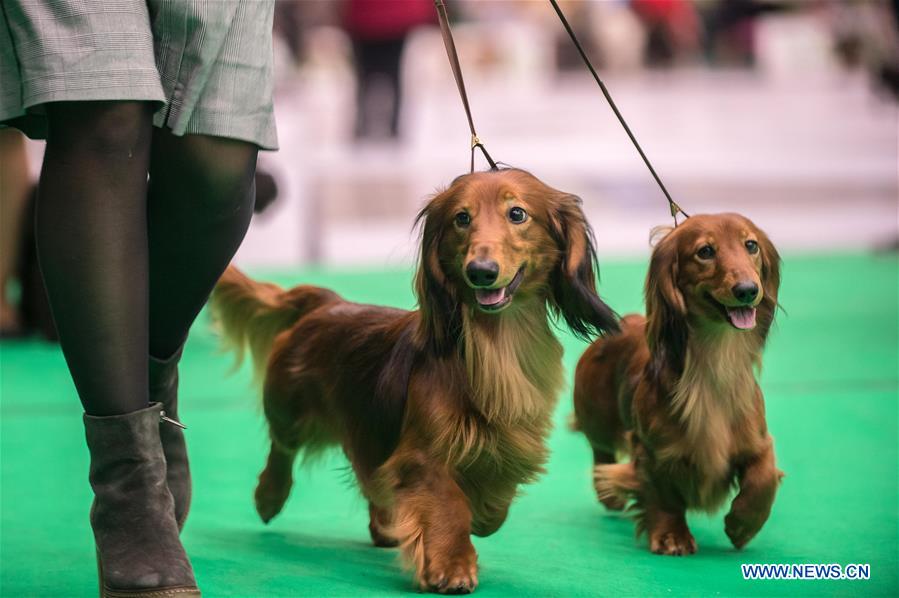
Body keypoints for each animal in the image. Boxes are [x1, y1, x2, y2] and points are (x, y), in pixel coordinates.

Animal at [213, 170, 620, 596]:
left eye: (517, 213)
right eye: (461, 218)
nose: (481, 271)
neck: (494, 345)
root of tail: (328, 302)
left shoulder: (509, 443)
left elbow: (495, 501)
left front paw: (480, 516)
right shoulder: (424, 453)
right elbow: (449, 502)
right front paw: (452, 564)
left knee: (370, 476)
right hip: (291, 410)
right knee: (283, 448)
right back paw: (268, 497)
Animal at [576, 214, 780, 556]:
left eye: (751, 245)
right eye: (705, 251)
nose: (748, 290)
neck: (715, 363)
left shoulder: (757, 440)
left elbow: (764, 478)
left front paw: (742, 525)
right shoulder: (654, 451)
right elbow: (663, 495)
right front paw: (672, 536)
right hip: (597, 417)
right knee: (600, 452)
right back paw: (609, 492)